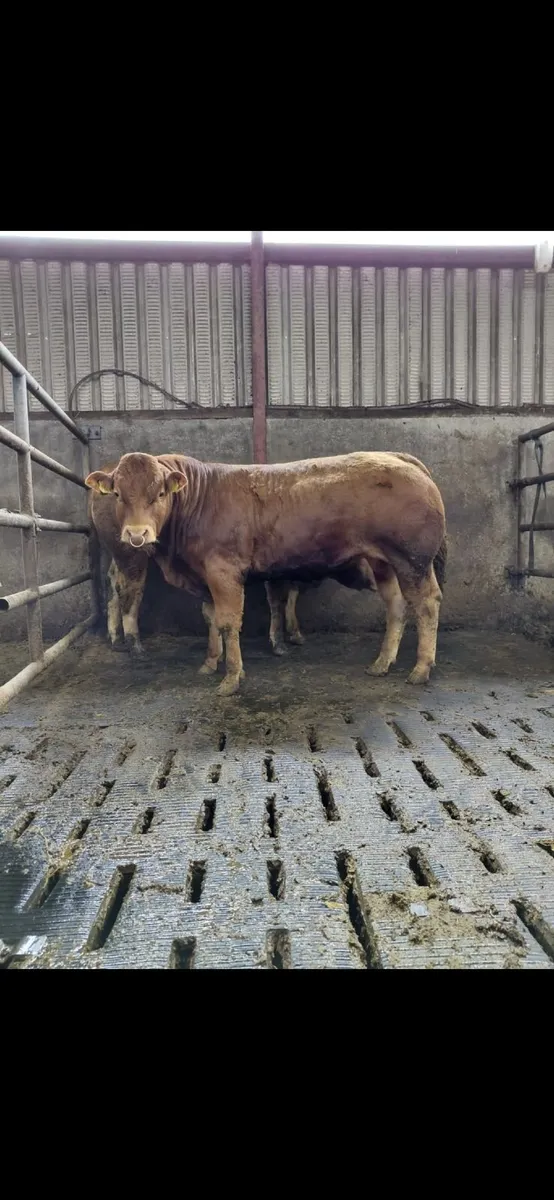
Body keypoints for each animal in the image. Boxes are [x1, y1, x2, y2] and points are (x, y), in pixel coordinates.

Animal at [85, 450, 447, 696]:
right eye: (117, 494)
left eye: (160, 493)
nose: (137, 535)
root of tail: (399, 457)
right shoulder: (205, 577)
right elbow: (211, 618)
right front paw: (210, 663)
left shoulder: (223, 571)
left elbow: (229, 622)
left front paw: (232, 677)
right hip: (384, 562)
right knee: (396, 605)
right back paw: (382, 663)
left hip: (413, 560)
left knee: (427, 604)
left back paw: (421, 668)